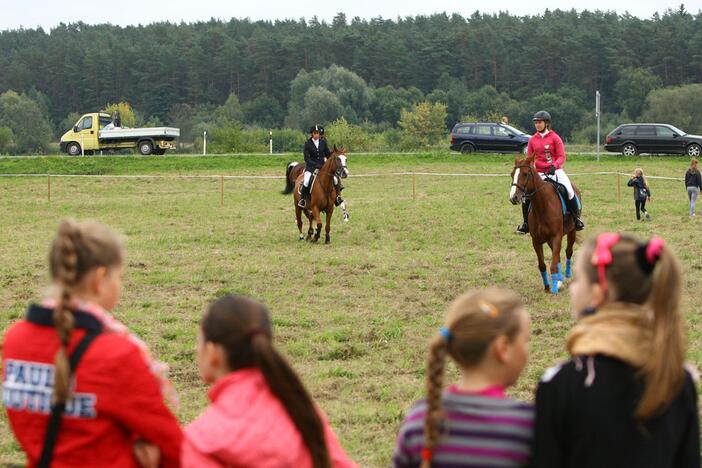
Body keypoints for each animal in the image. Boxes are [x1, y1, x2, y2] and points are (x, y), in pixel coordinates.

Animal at [512, 154, 584, 292]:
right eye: (512, 174)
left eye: (525, 174)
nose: (513, 197)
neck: (542, 206)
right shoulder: (536, 241)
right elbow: (542, 265)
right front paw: (547, 287)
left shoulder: (556, 237)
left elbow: (554, 265)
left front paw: (554, 289)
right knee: (558, 256)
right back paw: (559, 280)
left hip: (571, 231)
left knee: (568, 251)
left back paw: (566, 276)